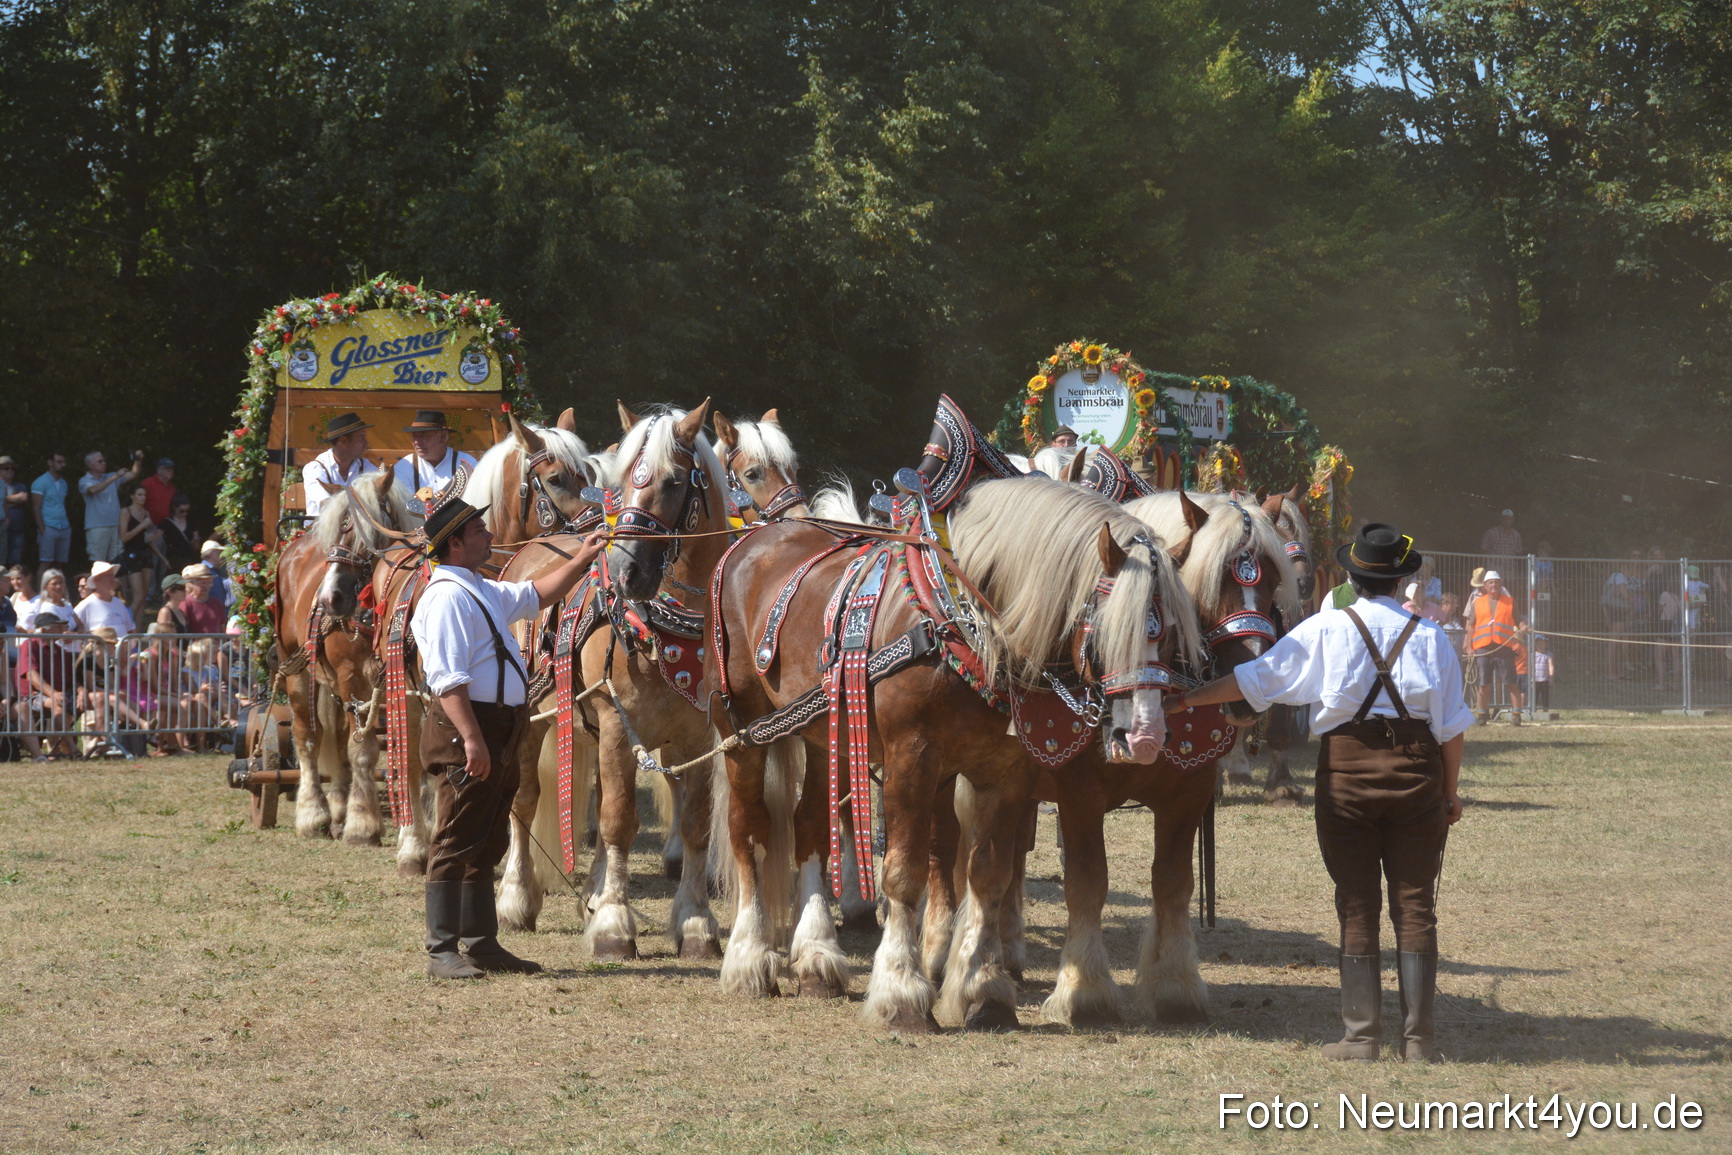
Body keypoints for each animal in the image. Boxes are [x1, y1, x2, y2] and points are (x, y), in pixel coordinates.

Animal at [271, 469, 418, 846]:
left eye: (361, 530)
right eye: (335, 528)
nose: (329, 599)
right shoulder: (352, 677)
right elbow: (362, 750)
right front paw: (363, 824)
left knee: (336, 738)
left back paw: (338, 808)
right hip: (297, 670)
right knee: (308, 735)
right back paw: (314, 814)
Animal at [708, 473, 1193, 1031]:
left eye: (1173, 633)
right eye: (1114, 630)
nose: (1146, 737)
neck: (960, 624)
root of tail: (754, 537)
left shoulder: (1007, 773)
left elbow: (989, 876)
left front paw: (985, 990)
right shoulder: (910, 760)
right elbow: (904, 873)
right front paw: (901, 992)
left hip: (821, 733)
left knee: (810, 830)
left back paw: (816, 959)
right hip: (741, 726)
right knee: (748, 829)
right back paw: (748, 958)